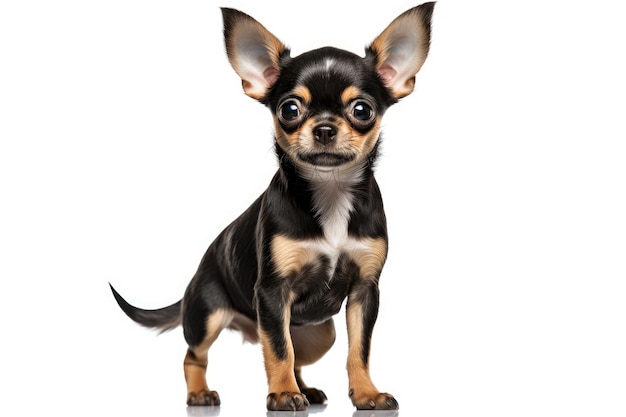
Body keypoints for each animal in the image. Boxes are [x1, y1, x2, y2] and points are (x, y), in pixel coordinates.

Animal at [109, 2, 432, 410]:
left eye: (362, 110)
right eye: (289, 109)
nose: (324, 128)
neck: (331, 191)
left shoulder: (364, 292)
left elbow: (358, 349)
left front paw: (366, 394)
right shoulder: (272, 293)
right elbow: (278, 349)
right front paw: (281, 395)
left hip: (319, 333)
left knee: (296, 351)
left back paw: (305, 390)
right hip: (208, 314)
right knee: (197, 355)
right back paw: (202, 392)